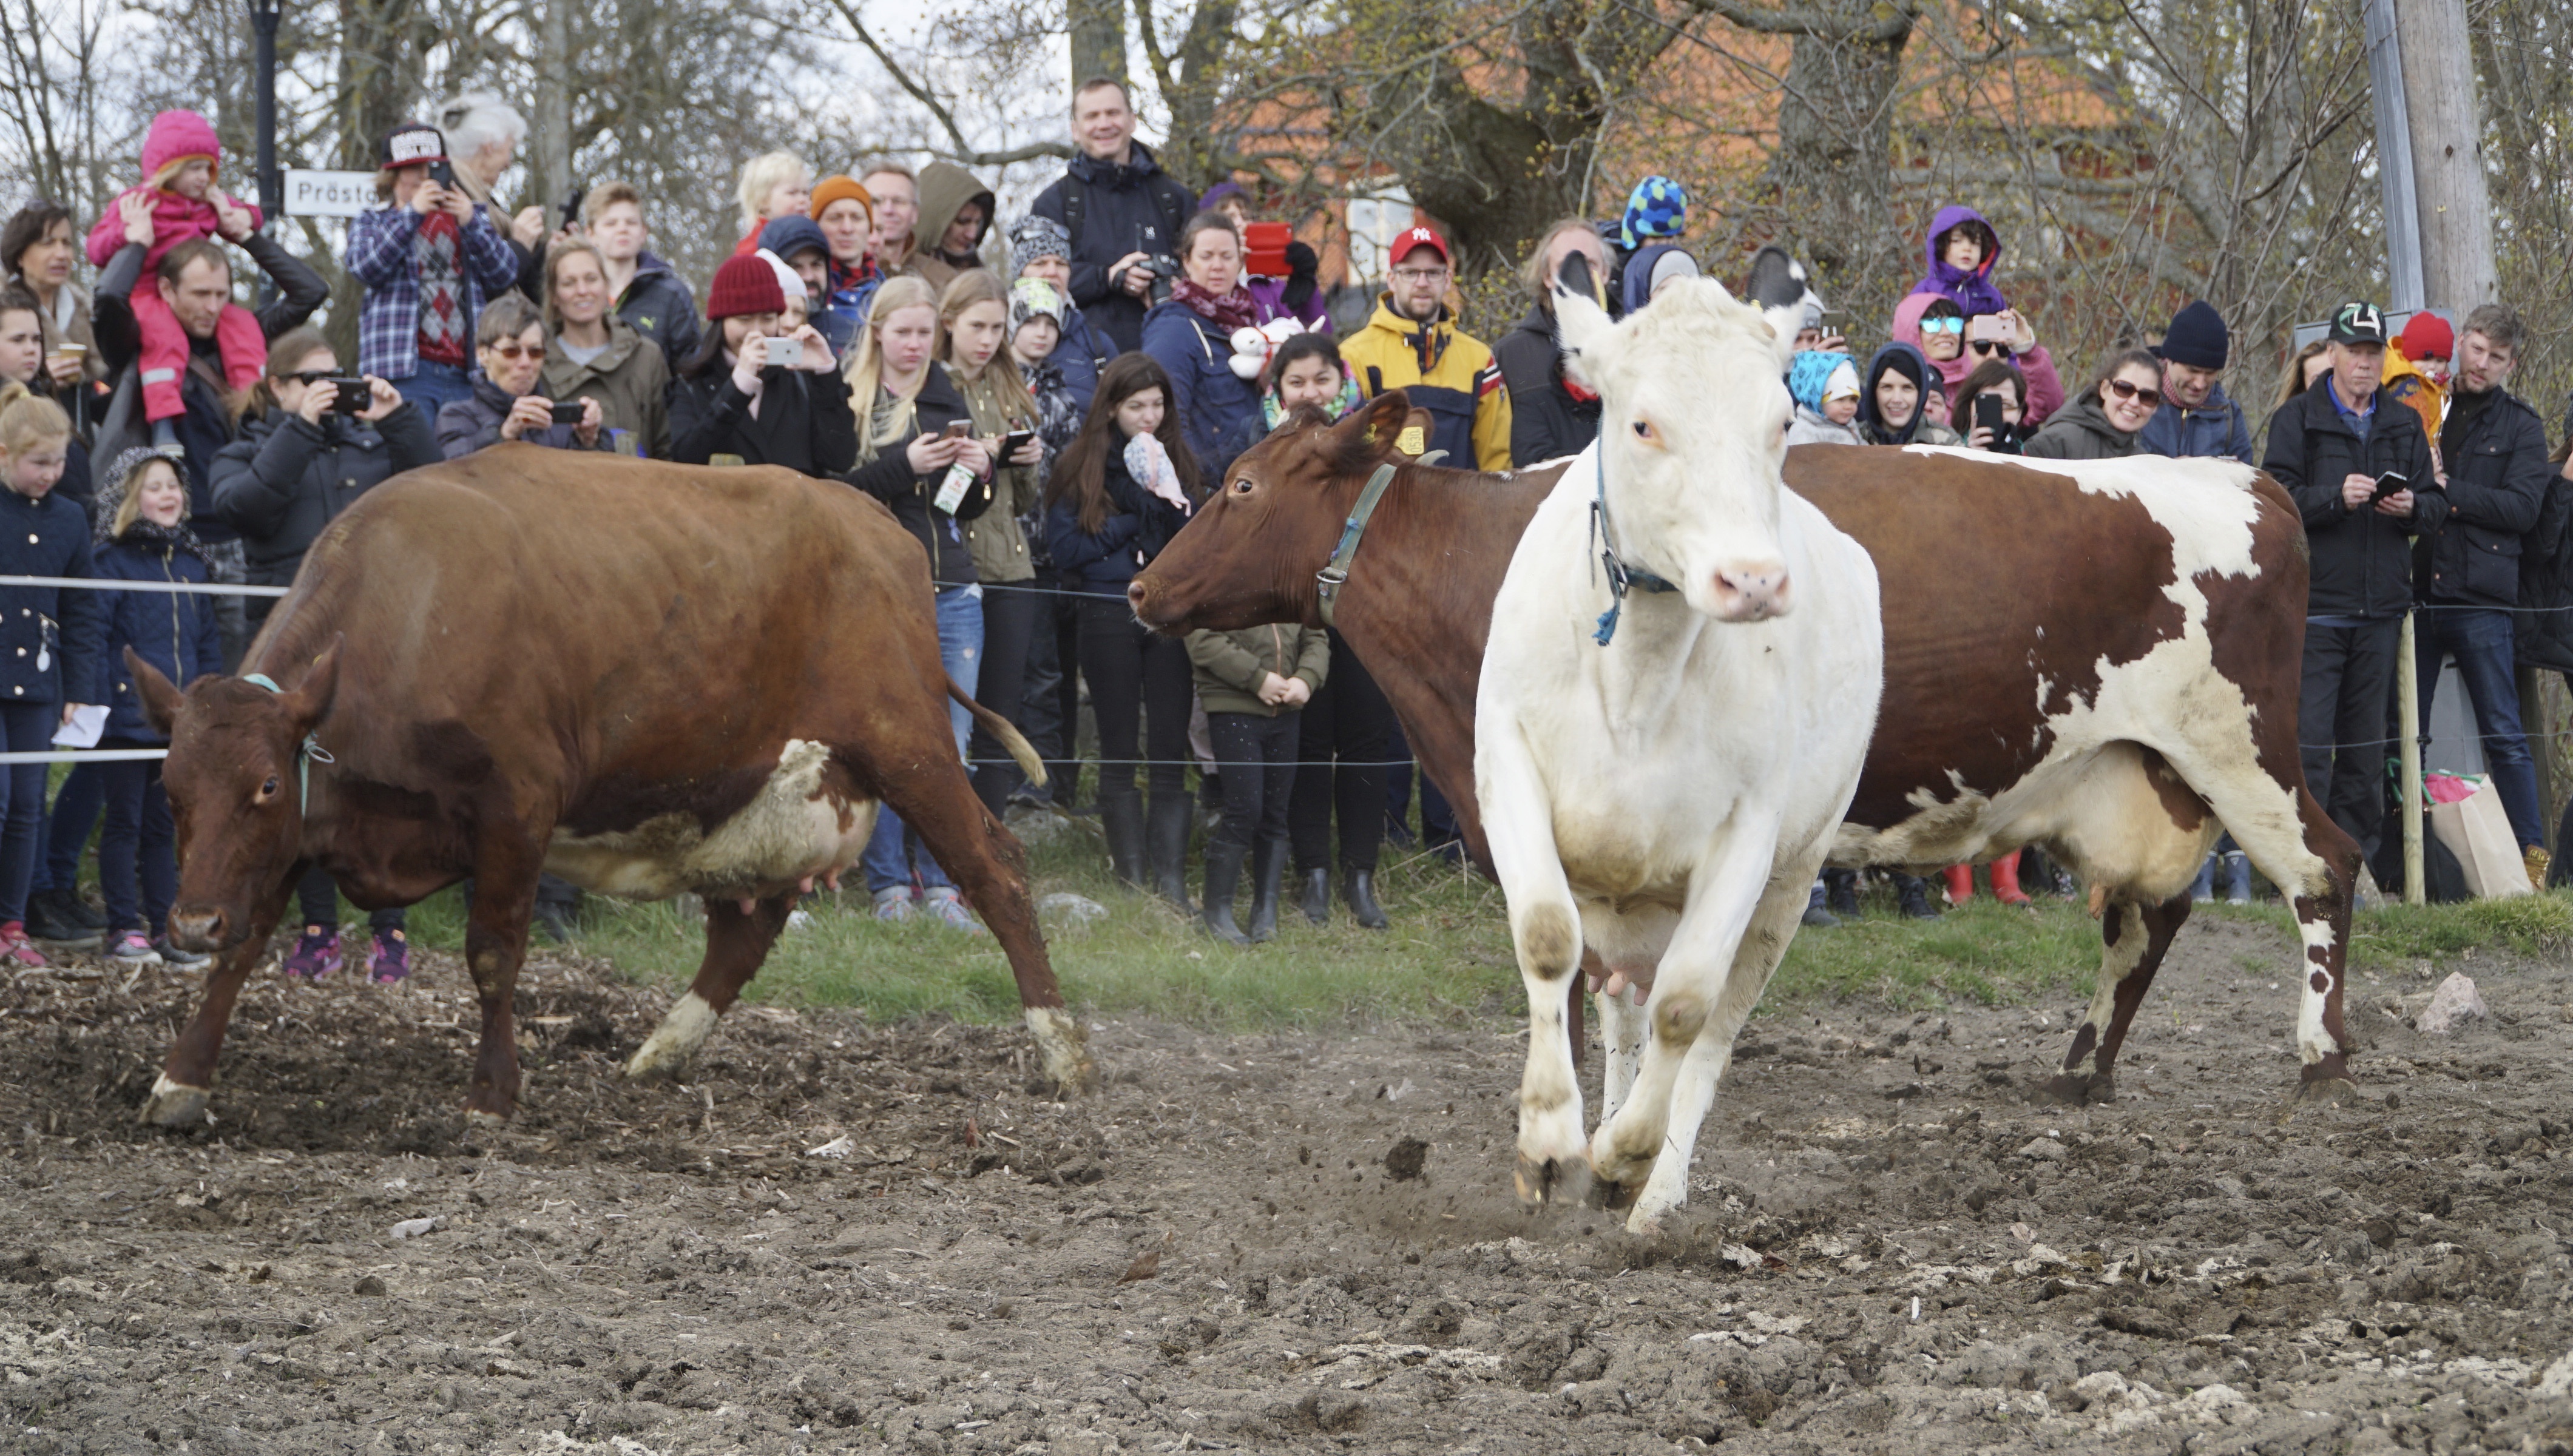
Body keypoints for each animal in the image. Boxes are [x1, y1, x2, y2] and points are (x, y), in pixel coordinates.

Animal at [129, 446, 1097, 1128]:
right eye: (170, 790)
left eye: (262, 785)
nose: (186, 922)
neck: (411, 614)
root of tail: (868, 518)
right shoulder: (296, 835)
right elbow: (243, 952)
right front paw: (181, 1078)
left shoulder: (516, 808)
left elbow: (493, 954)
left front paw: (491, 1094)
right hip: (749, 789)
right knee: (745, 931)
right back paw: (661, 1051)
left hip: (909, 744)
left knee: (995, 874)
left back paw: (1064, 1052)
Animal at [1128, 389, 2367, 1181]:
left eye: (1241, 483)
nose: (1142, 587)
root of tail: (2240, 479)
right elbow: (1619, 995)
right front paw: (1612, 1118)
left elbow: (1586, 989)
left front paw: (1572, 1134)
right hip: (2136, 773)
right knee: (2150, 920)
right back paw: (2080, 1069)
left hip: (2239, 743)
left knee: (2323, 866)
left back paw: (2319, 1059)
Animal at [1462, 279, 1884, 1231]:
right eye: (1644, 424)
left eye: (1779, 421)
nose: (1753, 580)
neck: (1637, 678)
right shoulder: (1507, 763)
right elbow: (1547, 939)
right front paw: (1550, 1146)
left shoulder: (1751, 830)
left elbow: (1689, 1007)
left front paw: (1624, 1158)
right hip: (1624, 901)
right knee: (1620, 1007)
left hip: (1792, 878)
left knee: (1708, 1030)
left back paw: (1653, 1193)